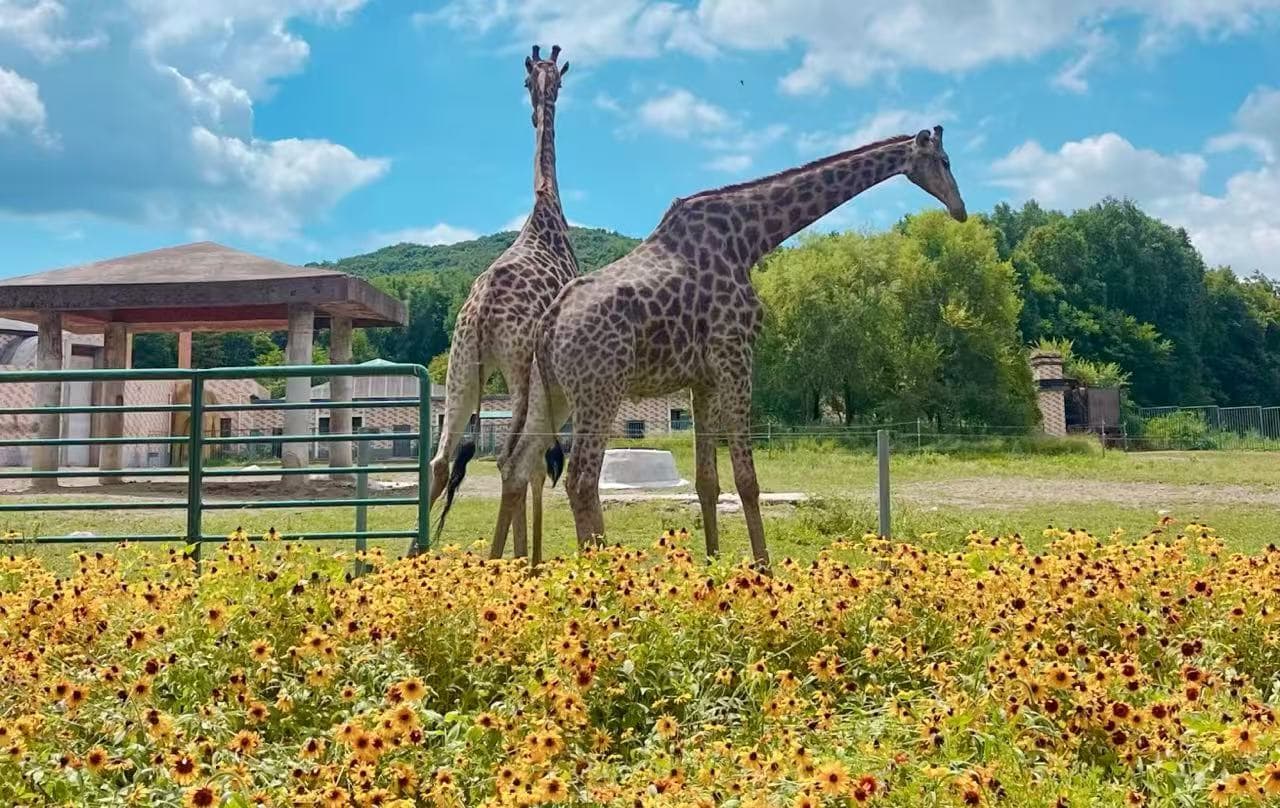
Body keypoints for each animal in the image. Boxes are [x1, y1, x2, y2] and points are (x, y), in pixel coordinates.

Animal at [428, 45, 576, 560]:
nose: (534, 106)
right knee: (514, 462)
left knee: (440, 460)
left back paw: (414, 558)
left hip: (462, 366)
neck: (547, 206)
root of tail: (483, 312)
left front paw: (525, 556)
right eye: (527, 81)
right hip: (518, 370)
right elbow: (538, 467)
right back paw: (497, 565)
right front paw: (529, 560)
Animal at [495, 127, 966, 568]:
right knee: (580, 479)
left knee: (515, 465)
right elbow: (747, 479)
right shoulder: (737, 354)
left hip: (552, 392)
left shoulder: (701, 379)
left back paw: (502, 569)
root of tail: (549, 323)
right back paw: (601, 577)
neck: (749, 240)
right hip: (599, 391)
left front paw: (712, 567)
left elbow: (708, 481)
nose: (960, 210)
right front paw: (764, 572)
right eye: (943, 160)